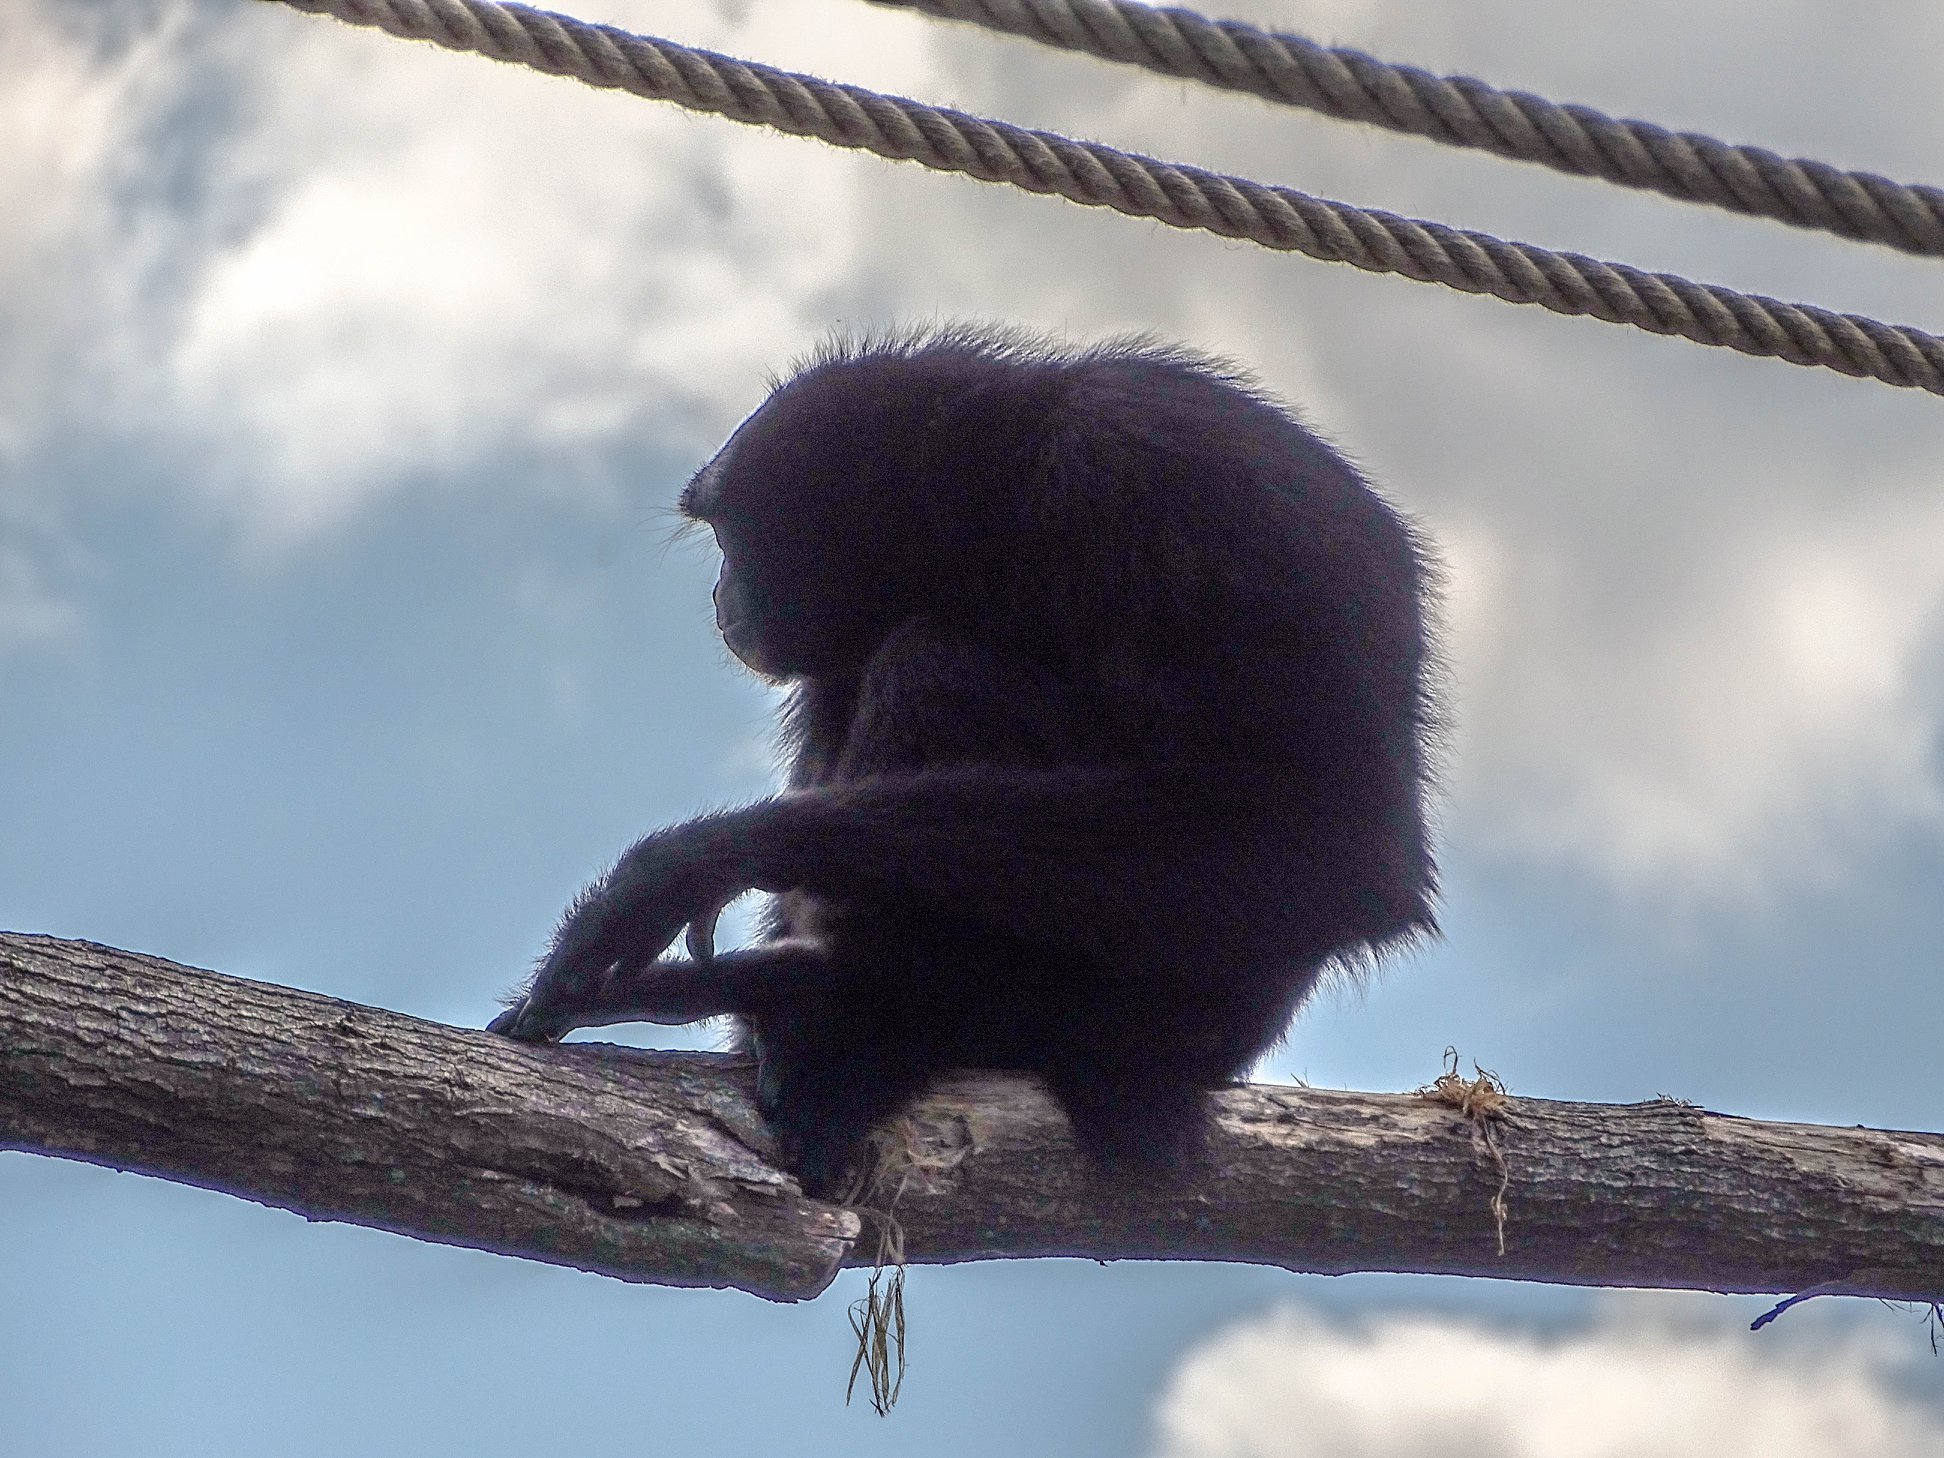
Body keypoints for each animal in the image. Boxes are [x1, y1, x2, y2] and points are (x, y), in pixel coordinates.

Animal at [489, 325, 1439, 1193]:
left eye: (728, 539)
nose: (722, 594)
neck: (1005, 508)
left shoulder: (1168, 483)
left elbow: (1332, 853)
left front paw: (685, 867)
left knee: (934, 660)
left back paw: (863, 1011)